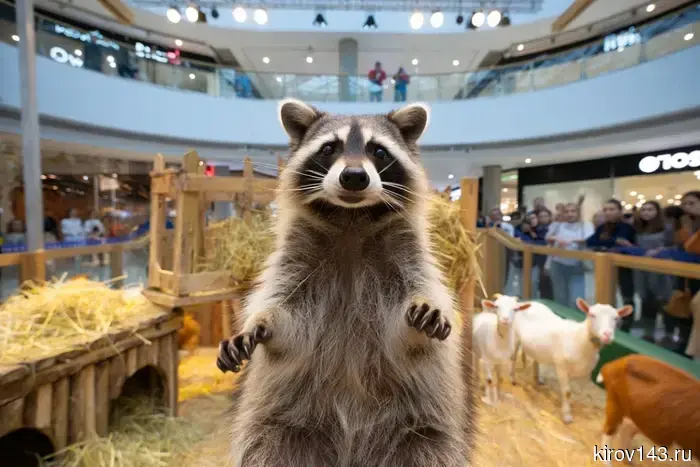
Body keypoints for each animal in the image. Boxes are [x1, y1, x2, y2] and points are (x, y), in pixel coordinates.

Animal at [217, 99, 473, 467]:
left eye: (378, 151)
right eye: (329, 148)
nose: (353, 177)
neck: (352, 219)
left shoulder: (408, 255)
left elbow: (410, 320)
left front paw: (426, 311)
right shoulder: (296, 260)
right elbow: (286, 313)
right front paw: (259, 323)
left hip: (423, 432)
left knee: (430, 447)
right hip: (281, 427)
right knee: (265, 445)